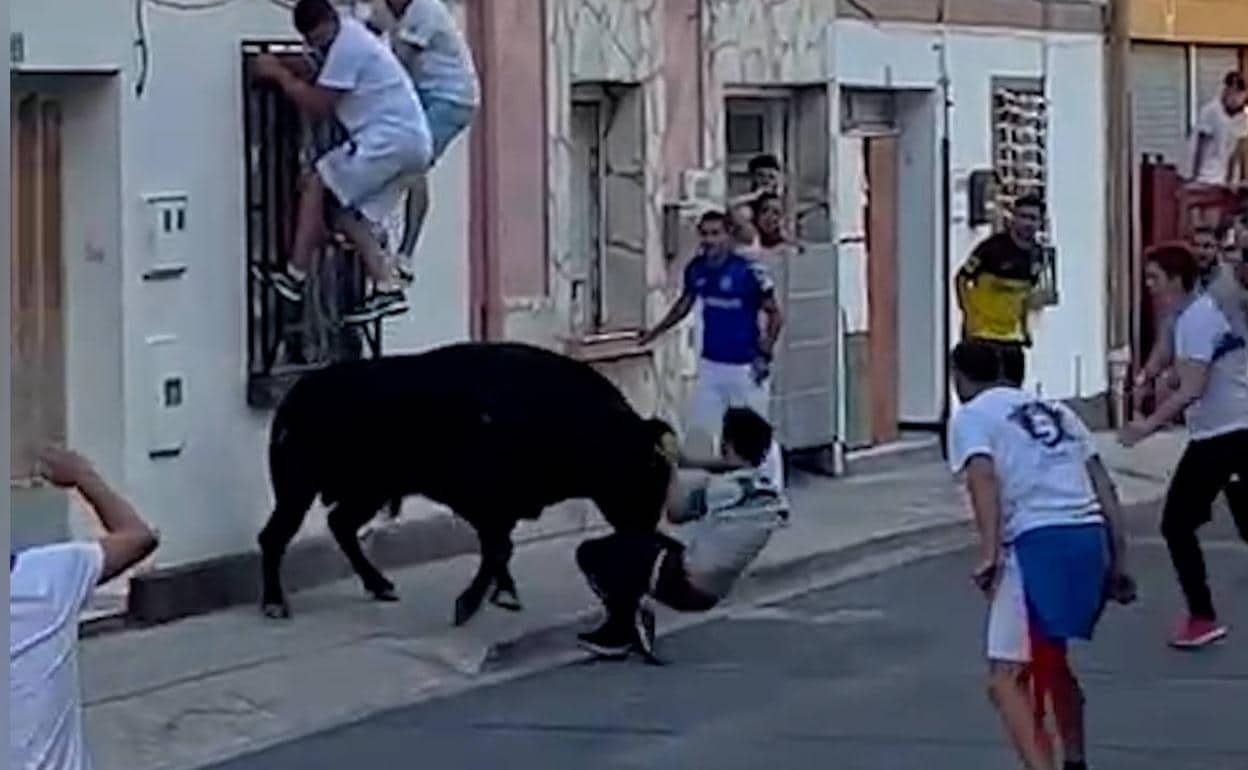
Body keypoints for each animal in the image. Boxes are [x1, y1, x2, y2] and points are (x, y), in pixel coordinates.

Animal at [257, 341, 678, 623]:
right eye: (644, 473)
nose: (647, 537)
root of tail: (294, 397)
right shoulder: (485, 504)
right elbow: (497, 549)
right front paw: (469, 605)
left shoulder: (499, 509)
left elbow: (499, 549)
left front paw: (503, 596)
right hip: (298, 488)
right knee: (276, 535)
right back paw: (276, 605)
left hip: (367, 491)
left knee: (339, 524)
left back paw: (382, 586)